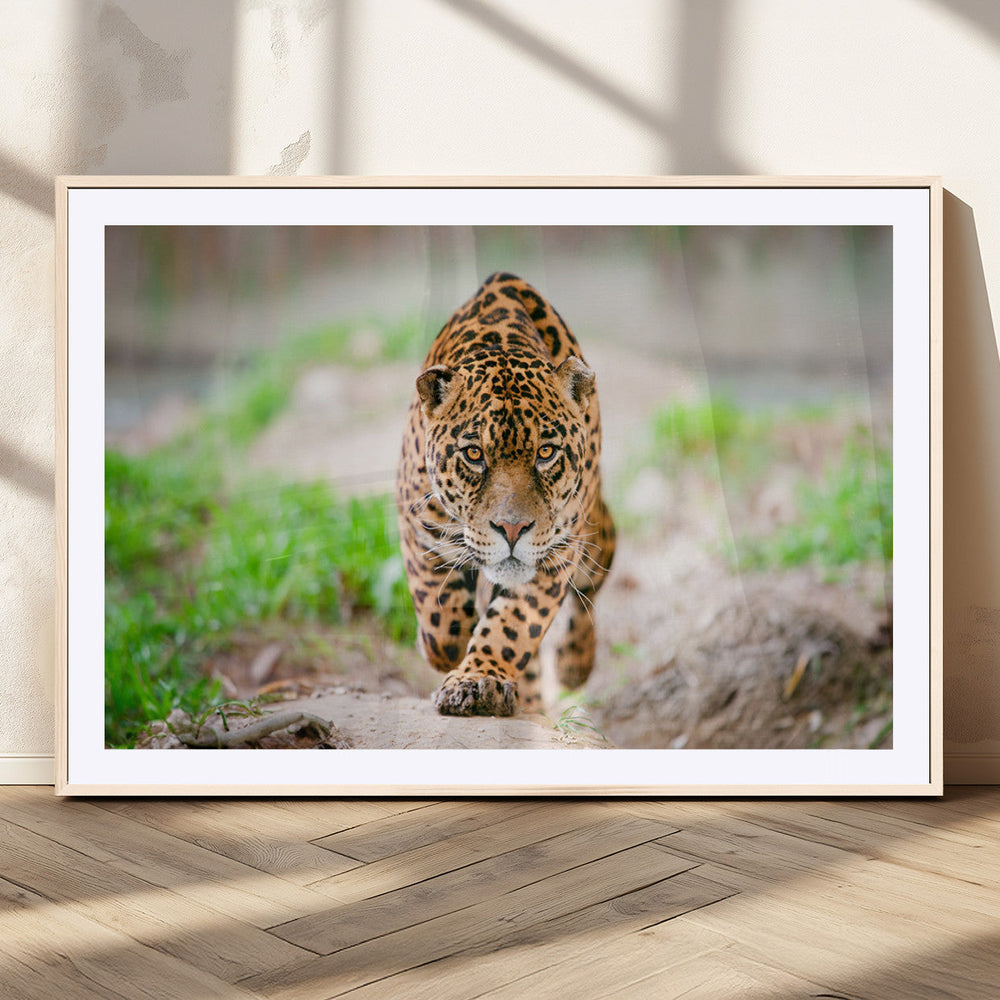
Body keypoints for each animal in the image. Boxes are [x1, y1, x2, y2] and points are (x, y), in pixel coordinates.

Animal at [395, 272, 616, 717]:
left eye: (546, 453)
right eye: (474, 454)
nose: (512, 530)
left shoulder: (555, 553)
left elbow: (512, 625)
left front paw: (478, 680)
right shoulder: (417, 525)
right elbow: (440, 619)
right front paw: (447, 651)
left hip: (594, 535)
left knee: (592, 581)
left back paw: (574, 665)